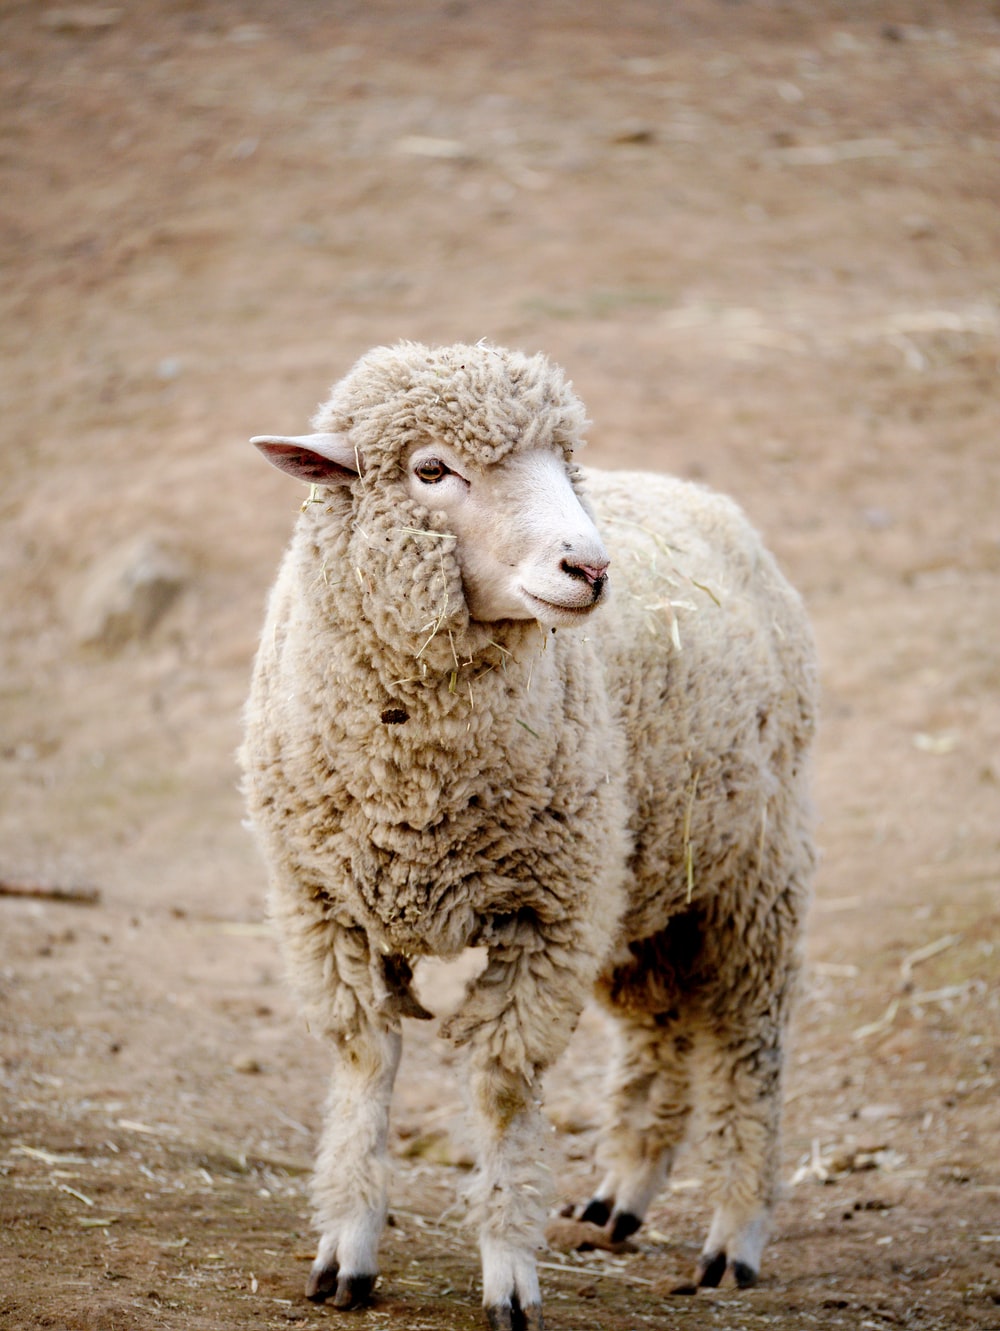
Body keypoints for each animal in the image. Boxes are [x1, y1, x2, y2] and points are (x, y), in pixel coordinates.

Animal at [240, 340, 817, 1331]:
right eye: (432, 469)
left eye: (562, 465)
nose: (590, 567)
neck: (417, 791)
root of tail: (701, 495)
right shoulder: (325, 906)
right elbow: (364, 1063)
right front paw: (346, 1248)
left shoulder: (547, 918)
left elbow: (505, 1087)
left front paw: (508, 1271)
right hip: (642, 883)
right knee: (662, 1030)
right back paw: (622, 1193)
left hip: (749, 877)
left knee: (749, 1047)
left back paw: (733, 1236)